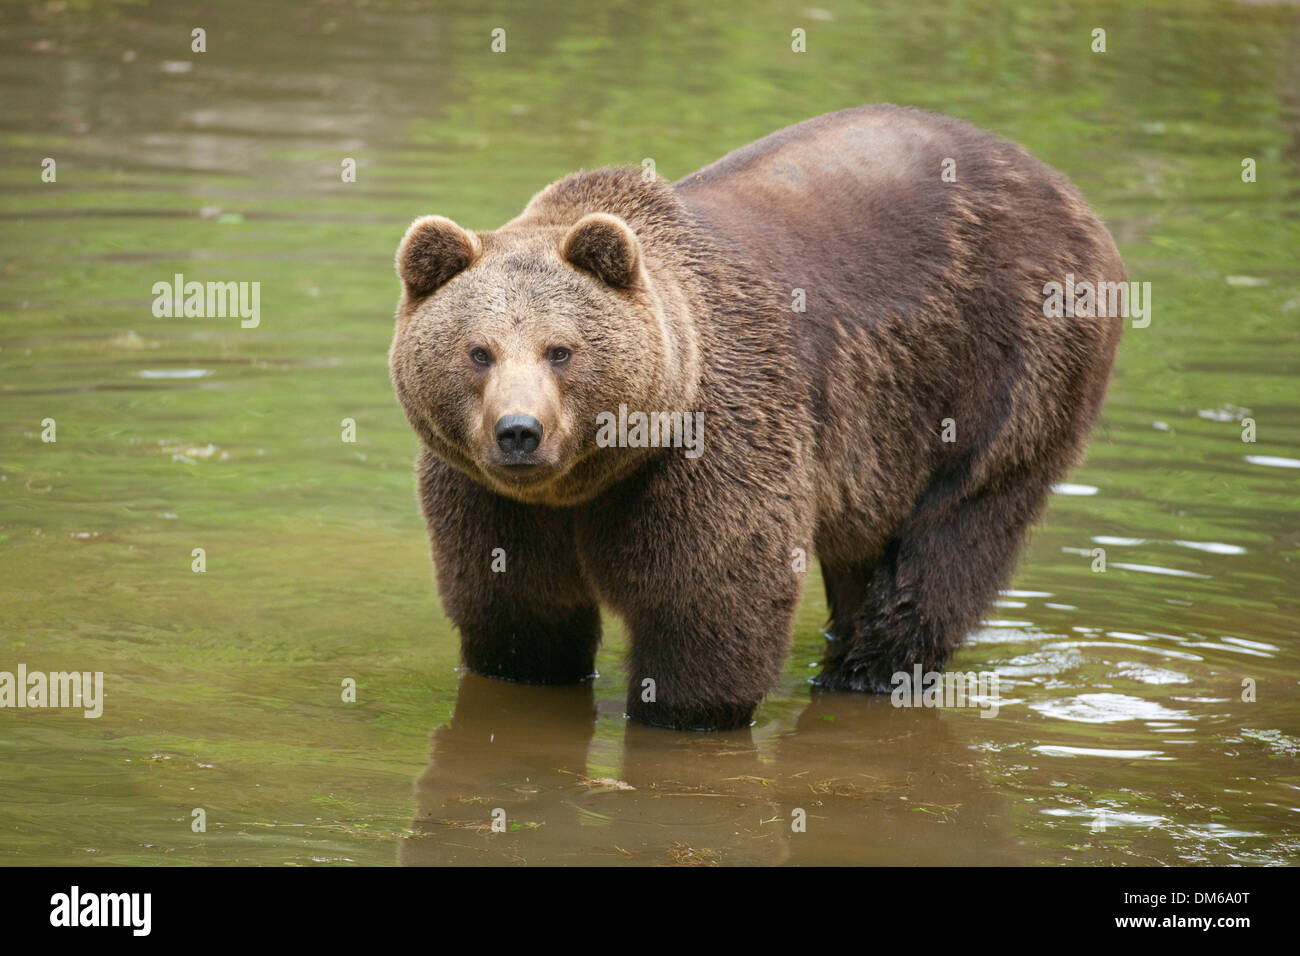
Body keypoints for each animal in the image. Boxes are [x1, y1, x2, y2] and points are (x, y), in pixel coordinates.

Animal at [390, 102, 1123, 733]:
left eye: (561, 350)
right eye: (478, 351)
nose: (520, 431)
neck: (589, 478)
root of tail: (1063, 188)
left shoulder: (712, 441)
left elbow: (710, 604)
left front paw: (682, 709)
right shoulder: (491, 497)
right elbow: (517, 615)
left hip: (1006, 369)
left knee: (953, 535)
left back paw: (864, 671)